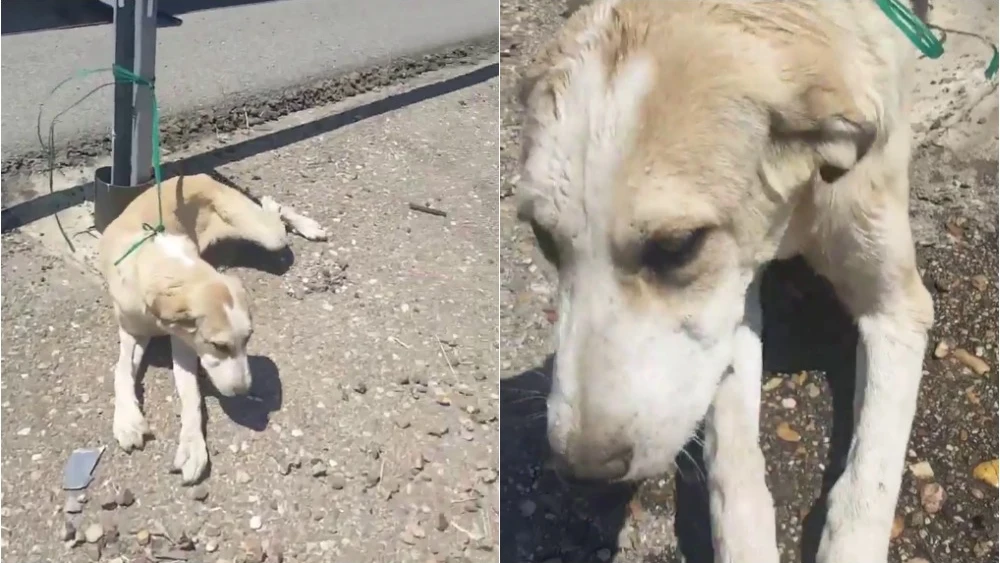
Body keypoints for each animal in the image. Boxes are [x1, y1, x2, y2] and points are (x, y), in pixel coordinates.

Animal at [97, 173, 326, 484]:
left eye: (248, 339)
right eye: (219, 346)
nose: (244, 392)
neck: (160, 263)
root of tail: (193, 175)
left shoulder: (184, 343)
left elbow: (191, 393)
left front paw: (192, 446)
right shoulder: (133, 330)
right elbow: (120, 371)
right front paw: (128, 420)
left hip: (267, 234)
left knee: (274, 216)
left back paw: (299, 220)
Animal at [520, 1, 932, 563]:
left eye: (678, 246)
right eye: (541, 236)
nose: (581, 471)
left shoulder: (897, 309)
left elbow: (868, 483)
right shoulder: (729, 305)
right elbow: (733, 464)